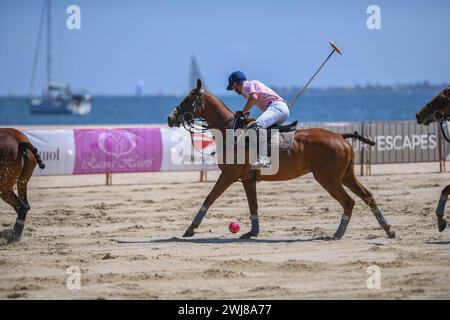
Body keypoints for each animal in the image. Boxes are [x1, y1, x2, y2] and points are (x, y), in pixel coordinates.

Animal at [167, 79, 396, 240]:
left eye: (188, 99)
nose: (170, 118)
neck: (229, 131)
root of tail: (341, 137)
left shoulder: (229, 175)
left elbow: (209, 198)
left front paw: (190, 229)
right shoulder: (247, 179)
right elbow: (253, 206)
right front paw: (252, 232)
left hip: (328, 178)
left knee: (349, 202)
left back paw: (339, 233)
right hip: (346, 176)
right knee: (368, 196)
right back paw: (388, 229)